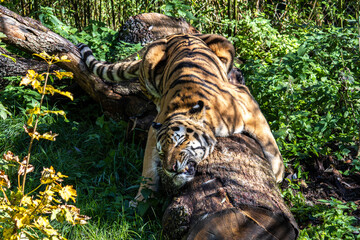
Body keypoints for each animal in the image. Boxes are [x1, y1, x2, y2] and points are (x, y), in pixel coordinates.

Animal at [77, 33, 286, 202]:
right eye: (162, 152)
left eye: (180, 142)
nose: (170, 168)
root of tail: (172, 36)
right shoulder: (154, 132)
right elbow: (148, 167)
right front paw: (141, 199)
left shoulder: (246, 100)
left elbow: (270, 142)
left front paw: (277, 174)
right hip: (150, 61)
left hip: (224, 42)